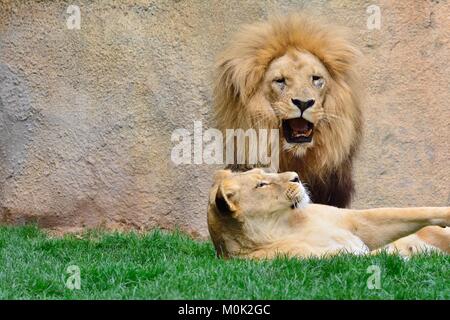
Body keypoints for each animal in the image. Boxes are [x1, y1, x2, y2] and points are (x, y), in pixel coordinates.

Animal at [207, 169, 450, 258]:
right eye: (261, 185)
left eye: (265, 173)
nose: (296, 176)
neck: (279, 226)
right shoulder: (328, 259)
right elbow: (373, 256)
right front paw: (409, 253)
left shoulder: (356, 221)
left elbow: (403, 212)